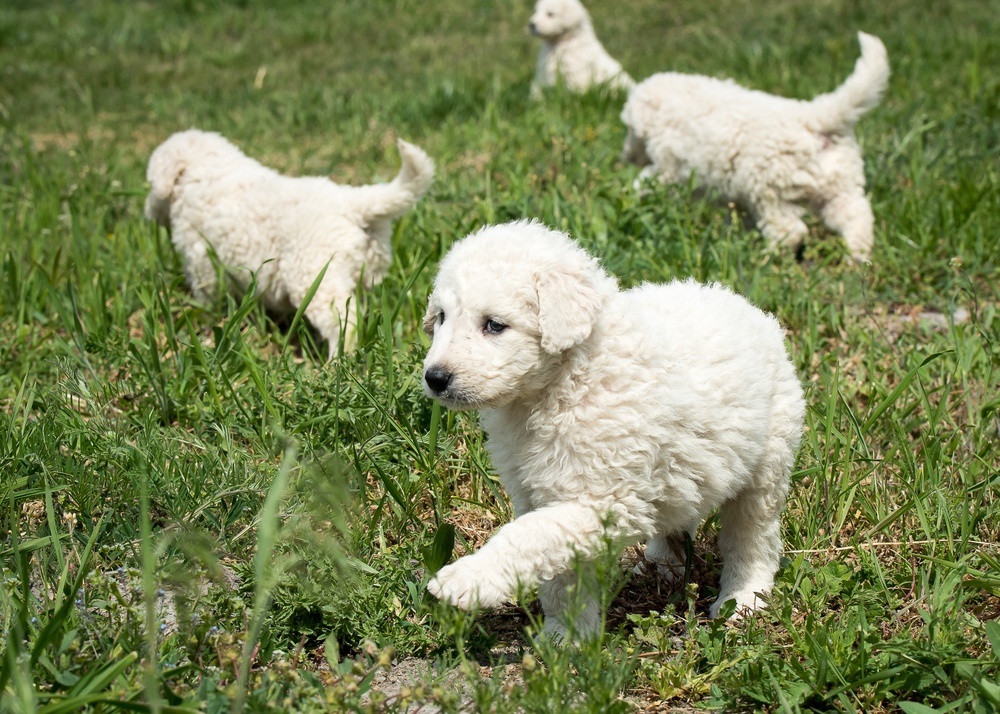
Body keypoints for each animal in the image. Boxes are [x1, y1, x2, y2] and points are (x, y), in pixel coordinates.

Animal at [145, 130, 434, 354]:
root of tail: (352, 203)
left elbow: (206, 289)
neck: (207, 172)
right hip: (368, 266)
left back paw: (337, 361)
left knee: (343, 322)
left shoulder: (199, 255)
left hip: (314, 275)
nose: (147, 212)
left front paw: (205, 313)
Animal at [420, 220, 804, 636]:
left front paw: (467, 580)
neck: (564, 382)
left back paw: (743, 600)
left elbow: (529, 536)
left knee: (752, 537)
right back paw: (662, 565)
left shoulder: (606, 500)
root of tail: (742, 304)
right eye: (441, 317)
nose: (434, 378)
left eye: (494, 325)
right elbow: (560, 573)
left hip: (767, 463)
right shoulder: (538, 492)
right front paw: (566, 636)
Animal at [620, 32, 888, 262]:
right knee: (857, 217)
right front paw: (733, 240)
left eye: (629, 129)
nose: (626, 156)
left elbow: (648, 180)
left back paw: (765, 260)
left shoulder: (670, 168)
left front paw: (630, 193)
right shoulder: (738, 199)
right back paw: (857, 259)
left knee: (790, 231)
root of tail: (815, 118)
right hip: (838, 186)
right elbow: (738, 220)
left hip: (770, 192)